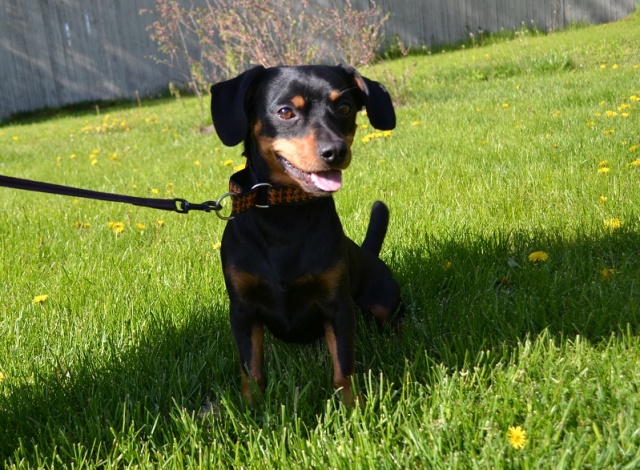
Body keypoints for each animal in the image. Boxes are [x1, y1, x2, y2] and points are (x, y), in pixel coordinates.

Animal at [210, 64, 403, 405]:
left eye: (345, 108)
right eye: (285, 112)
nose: (335, 151)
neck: (285, 215)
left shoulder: (337, 304)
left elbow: (343, 364)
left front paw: (352, 405)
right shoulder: (242, 310)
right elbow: (251, 367)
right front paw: (251, 407)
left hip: (383, 299)